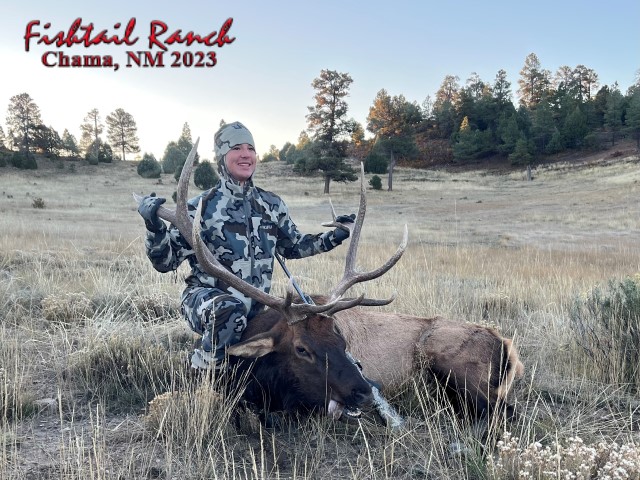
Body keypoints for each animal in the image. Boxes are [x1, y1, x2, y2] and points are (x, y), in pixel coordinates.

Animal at [135, 140, 523, 426]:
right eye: (302, 348)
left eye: (342, 339)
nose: (365, 391)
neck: (256, 378)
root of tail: (506, 347)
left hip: (454, 365)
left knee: (501, 411)